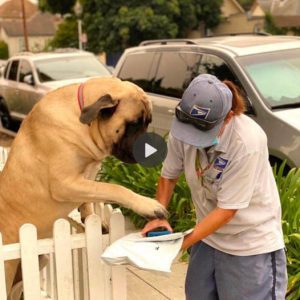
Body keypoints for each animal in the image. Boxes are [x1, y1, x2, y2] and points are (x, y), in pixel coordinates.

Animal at [0, 76, 166, 292]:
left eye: (148, 123)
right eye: (133, 124)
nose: (151, 149)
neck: (85, 124)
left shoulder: (87, 177)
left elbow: (93, 196)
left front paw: (90, 218)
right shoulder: (64, 183)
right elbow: (113, 188)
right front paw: (147, 205)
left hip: (35, 265)